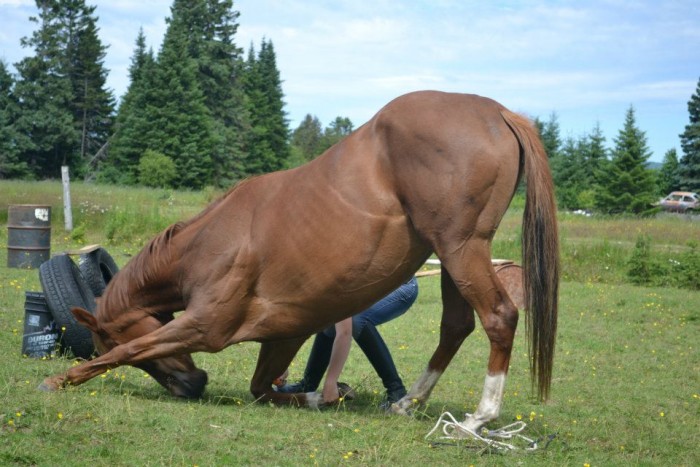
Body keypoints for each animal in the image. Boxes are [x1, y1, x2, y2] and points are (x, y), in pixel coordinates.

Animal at [42, 92, 556, 436]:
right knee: (455, 327)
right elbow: (260, 387)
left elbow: (127, 352)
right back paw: (407, 403)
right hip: (453, 261)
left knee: (499, 317)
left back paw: (479, 418)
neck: (207, 243)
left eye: (110, 335)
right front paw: (319, 395)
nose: (191, 386)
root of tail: (497, 112)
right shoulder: (284, 334)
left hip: (462, 250)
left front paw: (59, 379)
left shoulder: (205, 327)